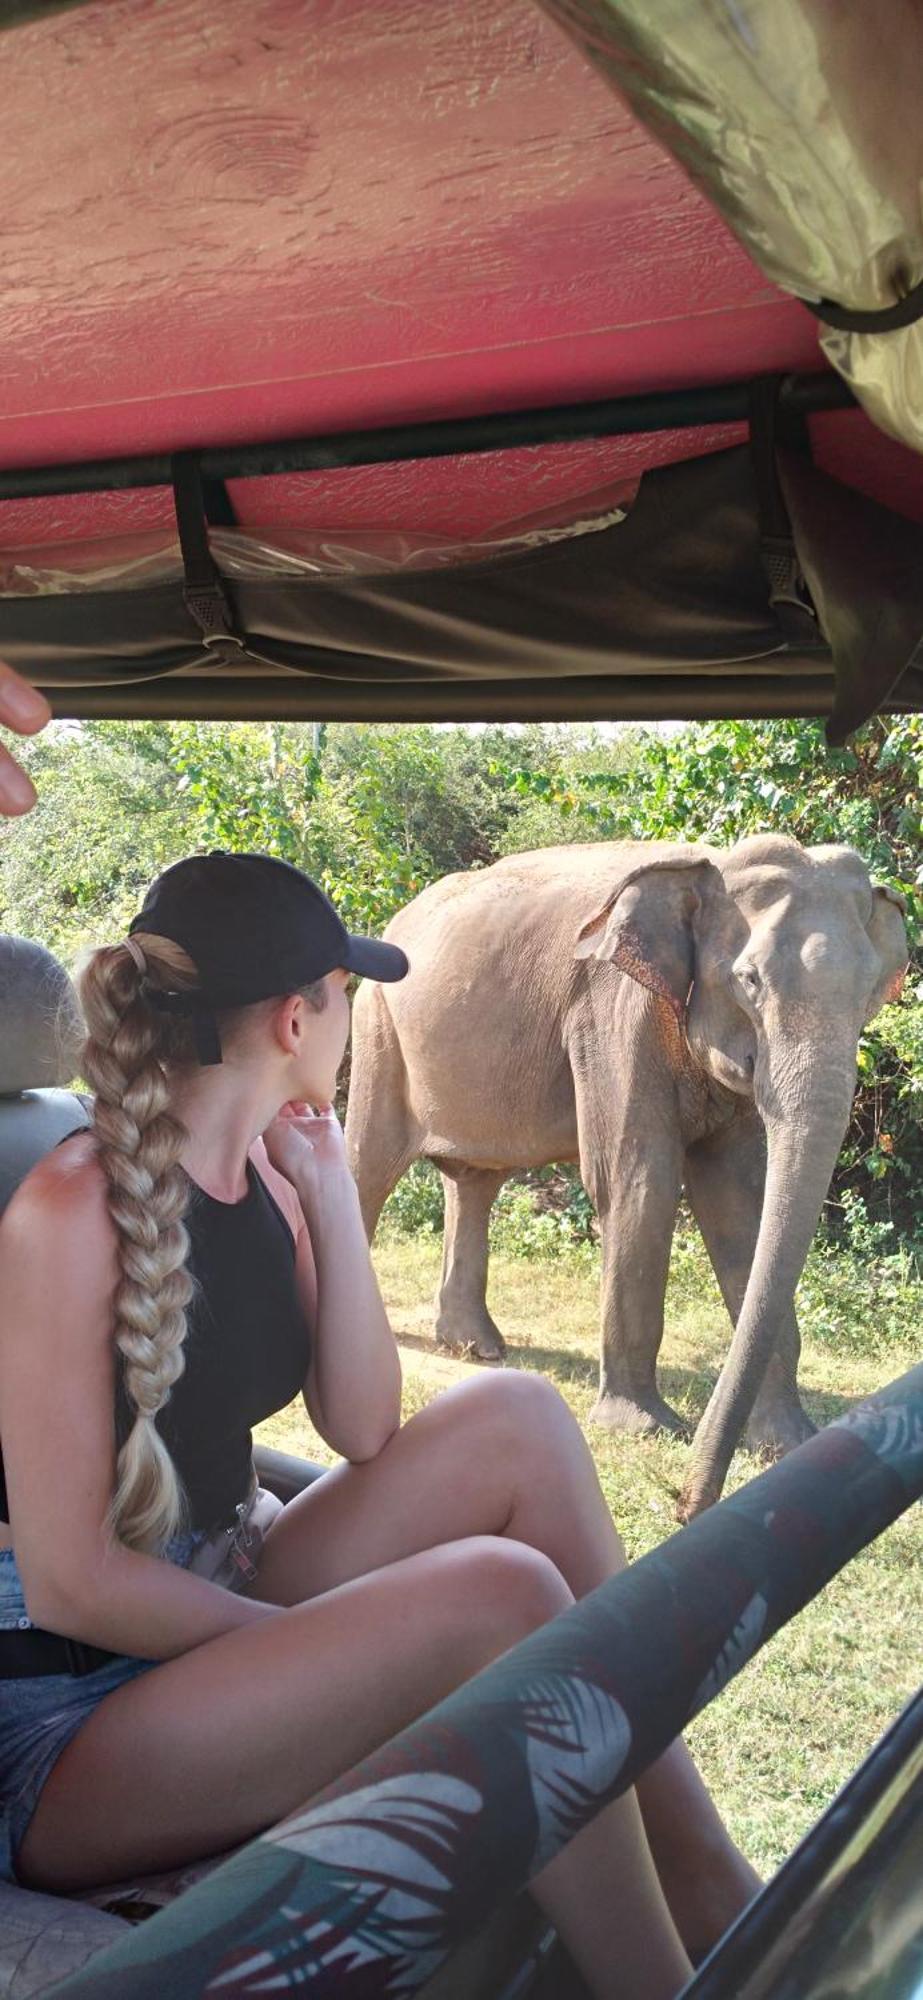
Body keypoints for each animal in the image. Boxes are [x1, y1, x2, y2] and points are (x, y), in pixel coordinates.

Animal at [341, 832, 903, 1512]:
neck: (707, 866)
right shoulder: (615, 1012)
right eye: (749, 979)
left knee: (474, 1181)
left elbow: (740, 1200)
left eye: (871, 990)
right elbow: (638, 1180)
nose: (687, 1503)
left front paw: (789, 1444)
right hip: (377, 1027)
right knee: (369, 1167)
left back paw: (476, 1347)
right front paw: (645, 1428)